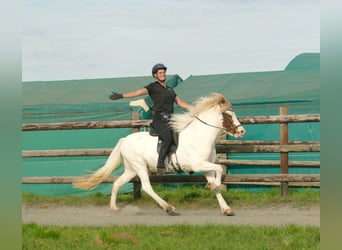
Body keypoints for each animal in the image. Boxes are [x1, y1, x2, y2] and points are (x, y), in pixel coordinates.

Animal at [74, 93, 246, 216]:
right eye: (228, 115)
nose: (242, 131)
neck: (200, 136)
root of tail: (125, 140)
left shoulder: (206, 166)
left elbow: (216, 180)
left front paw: (225, 207)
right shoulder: (198, 164)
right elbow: (219, 169)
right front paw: (212, 186)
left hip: (131, 169)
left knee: (117, 183)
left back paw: (114, 207)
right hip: (140, 166)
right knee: (146, 187)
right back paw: (168, 207)